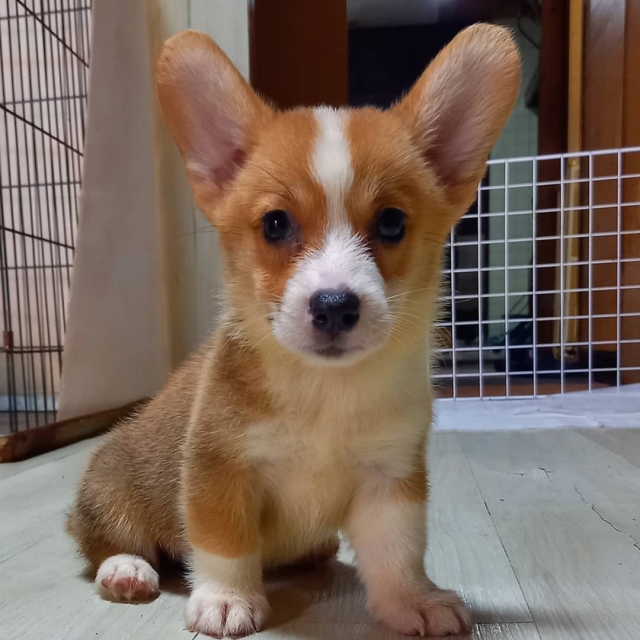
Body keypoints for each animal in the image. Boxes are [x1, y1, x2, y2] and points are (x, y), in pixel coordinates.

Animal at [67, 24, 519, 638]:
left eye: (392, 222)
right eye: (276, 224)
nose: (333, 306)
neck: (324, 391)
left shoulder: (389, 479)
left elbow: (397, 552)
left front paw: (412, 600)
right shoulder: (219, 470)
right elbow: (225, 543)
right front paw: (228, 599)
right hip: (112, 494)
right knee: (105, 542)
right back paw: (126, 570)